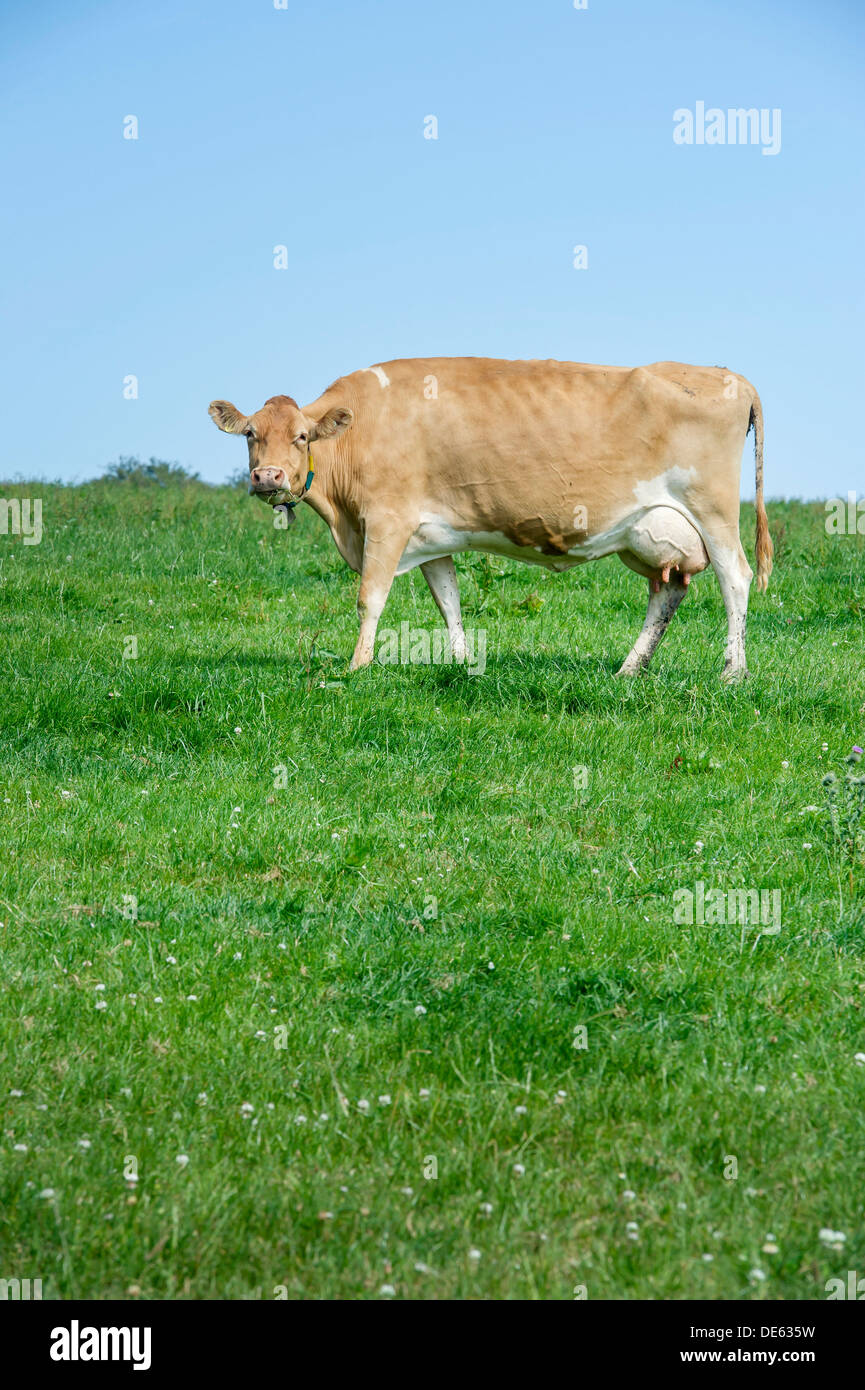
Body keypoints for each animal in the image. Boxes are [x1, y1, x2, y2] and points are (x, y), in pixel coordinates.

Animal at [209, 357, 772, 681]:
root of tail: (732, 377)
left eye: (302, 436)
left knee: (736, 578)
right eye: (250, 434)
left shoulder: (387, 521)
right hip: (650, 532)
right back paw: (629, 671)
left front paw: (357, 666)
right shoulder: (430, 533)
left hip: (713, 511)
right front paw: (462, 665)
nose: (267, 477)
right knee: (668, 592)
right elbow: (448, 600)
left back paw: (733, 672)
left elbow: (370, 597)